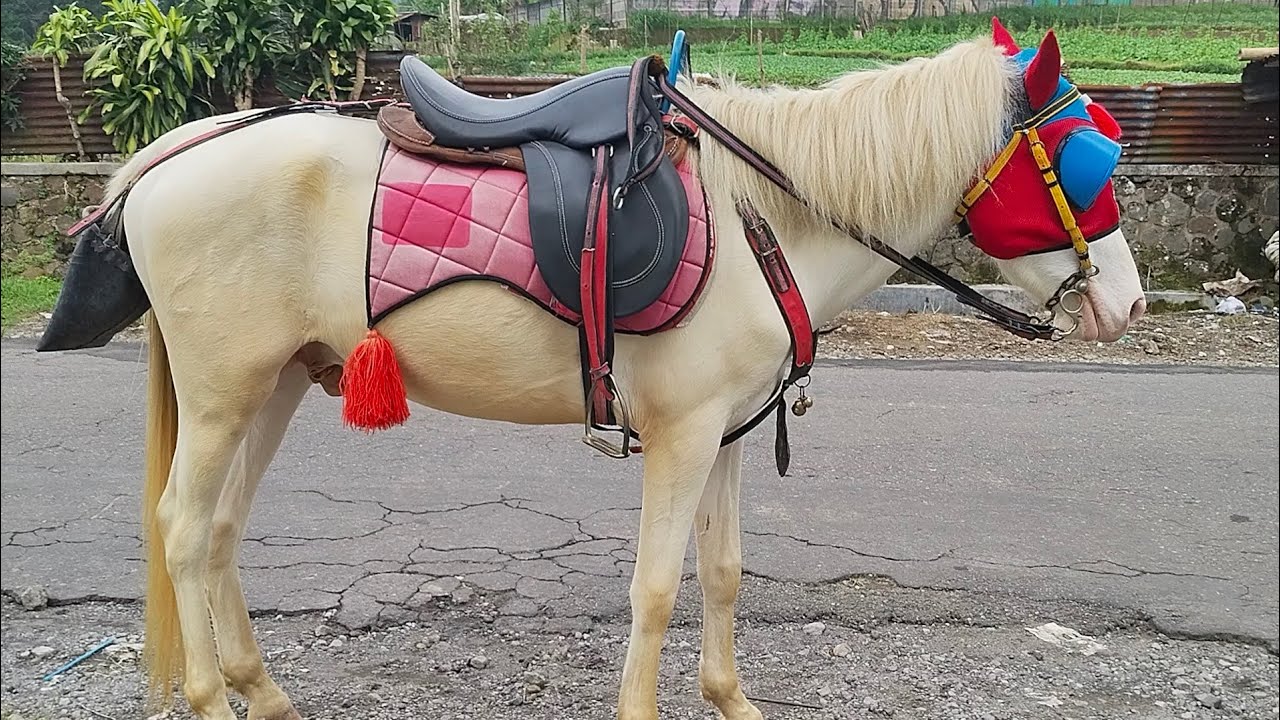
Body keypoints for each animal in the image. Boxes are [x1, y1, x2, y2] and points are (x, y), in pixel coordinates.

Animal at [40, 21, 1146, 720]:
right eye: (1084, 159)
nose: (1129, 305)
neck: (763, 212)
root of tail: (168, 156)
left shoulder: (725, 434)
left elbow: (723, 573)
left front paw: (731, 699)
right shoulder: (682, 436)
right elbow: (655, 588)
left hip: (270, 384)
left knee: (222, 530)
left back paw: (261, 691)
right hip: (223, 393)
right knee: (185, 530)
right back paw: (209, 698)